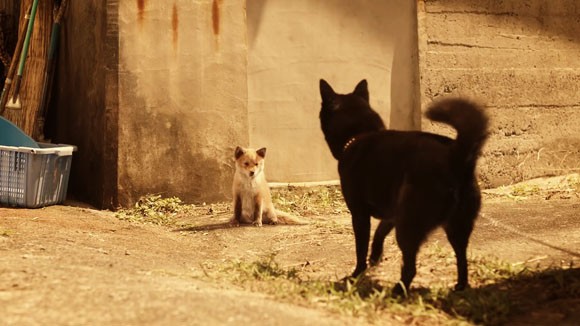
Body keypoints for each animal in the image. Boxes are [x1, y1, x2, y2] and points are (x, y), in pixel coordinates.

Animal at [320, 79, 488, 296]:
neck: (359, 135)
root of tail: (456, 157)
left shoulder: (359, 214)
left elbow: (361, 248)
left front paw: (356, 275)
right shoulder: (393, 212)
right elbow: (380, 231)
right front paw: (375, 256)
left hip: (409, 226)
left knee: (410, 268)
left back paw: (397, 291)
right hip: (456, 227)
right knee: (462, 259)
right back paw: (459, 286)